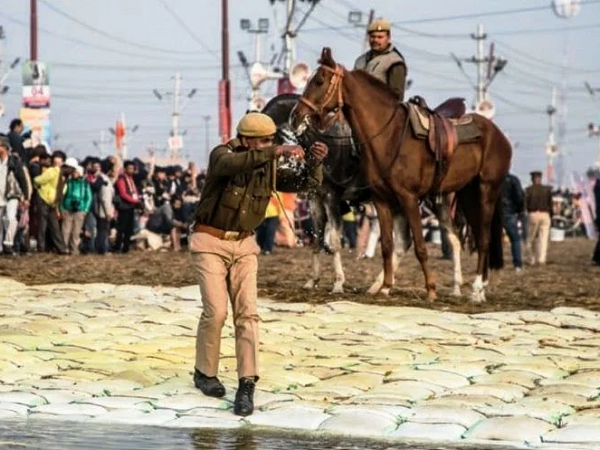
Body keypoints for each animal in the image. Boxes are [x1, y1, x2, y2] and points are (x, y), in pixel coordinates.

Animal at [290, 47, 510, 302]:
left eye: (319, 80)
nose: (296, 116)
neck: (388, 136)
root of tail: (499, 136)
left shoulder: (405, 198)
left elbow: (418, 246)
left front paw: (430, 289)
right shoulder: (379, 200)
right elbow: (384, 244)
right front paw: (385, 286)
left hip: (486, 191)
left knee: (483, 239)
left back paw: (476, 290)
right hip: (462, 195)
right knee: (456, 238)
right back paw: (462, 287)